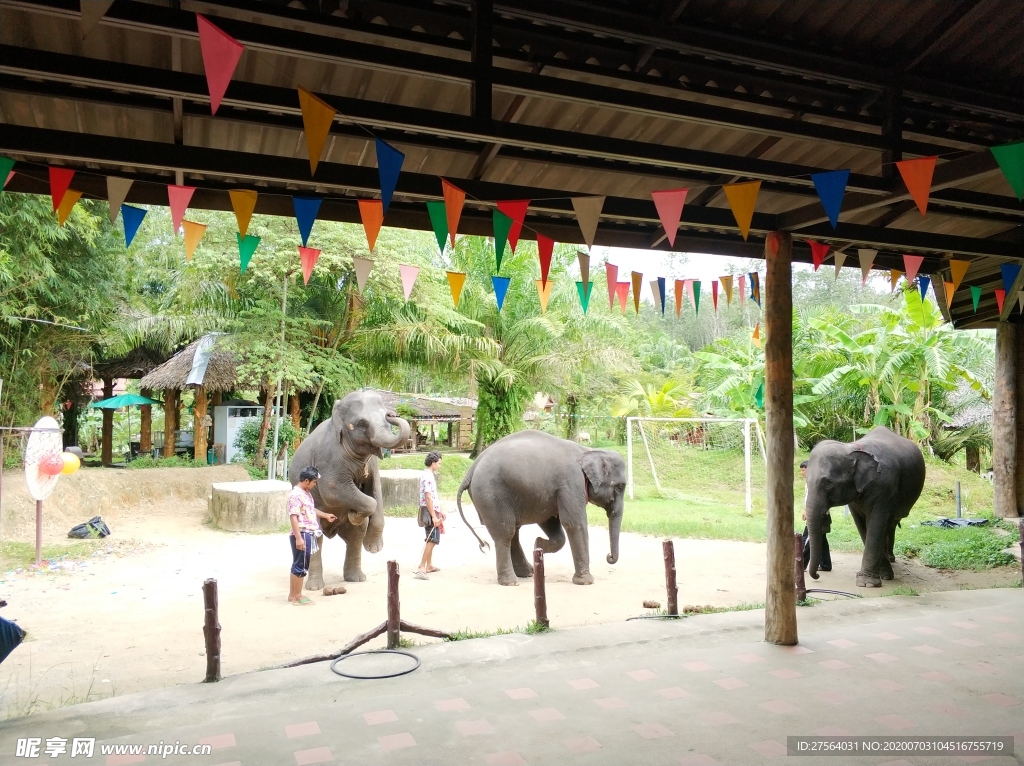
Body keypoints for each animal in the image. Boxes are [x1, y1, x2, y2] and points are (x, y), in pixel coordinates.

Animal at [288, 389, 407, 585]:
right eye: (362, 423)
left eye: (385, 416)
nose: (392, 414)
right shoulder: (328, 459)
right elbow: (333, 490)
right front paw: (355, 515)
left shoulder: (372, 465)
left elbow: (375, 489)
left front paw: (374, 547)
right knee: (317, 539)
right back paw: (315, 586)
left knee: (355, 536)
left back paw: (356, 578)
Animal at [458, 430, 630, 585]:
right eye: (621, 486)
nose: (609, 557)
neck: (588, 451)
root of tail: (471, 470)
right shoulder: (571, 484)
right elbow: (574, 523)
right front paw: (586, 582)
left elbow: (549, 520)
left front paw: (538, 544)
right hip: (491, 495)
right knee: (505, 533)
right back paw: (511, 582)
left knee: (513, 532)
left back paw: (527, 573)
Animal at [806, 423, 929, 585]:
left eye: (828, 483)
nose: (817, 576)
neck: (851, 448)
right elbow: (862, 525)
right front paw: (881, 575)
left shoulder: (885, 485)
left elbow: (876, 523)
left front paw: (868, 582)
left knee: (890, 523)